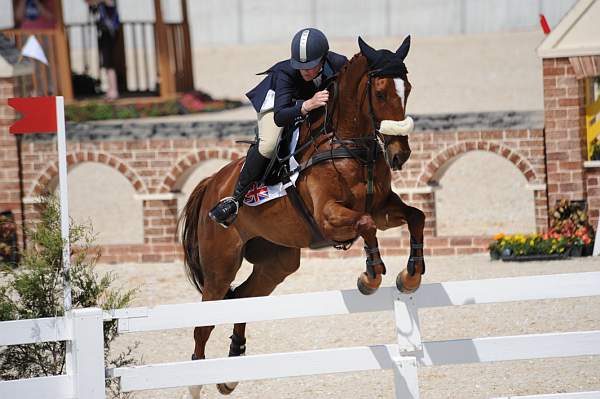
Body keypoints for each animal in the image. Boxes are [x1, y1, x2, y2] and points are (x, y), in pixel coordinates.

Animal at [178, 36, 426, 396]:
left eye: (407, 88)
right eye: (380, 93)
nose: (400, 154)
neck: (349, 143)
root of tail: (212, 183)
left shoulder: (382, 209)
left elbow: (416, 216)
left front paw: (410, 276)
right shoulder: (330, 217)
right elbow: (365, 226)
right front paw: (370, 277)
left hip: (276, 262)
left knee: (243, 298)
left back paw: (231, 371)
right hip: (219, 268)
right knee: (205, 322)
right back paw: (198, 381)